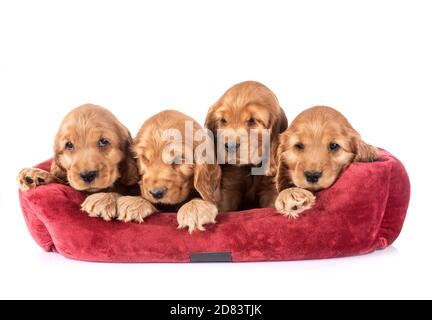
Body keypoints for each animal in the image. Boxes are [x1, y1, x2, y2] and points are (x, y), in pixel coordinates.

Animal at [205, 80, 286, 211]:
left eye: (252, 120)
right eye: (223, 120)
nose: (230, 146)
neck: (250, 167)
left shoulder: (271, 188)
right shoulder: (230, 186)